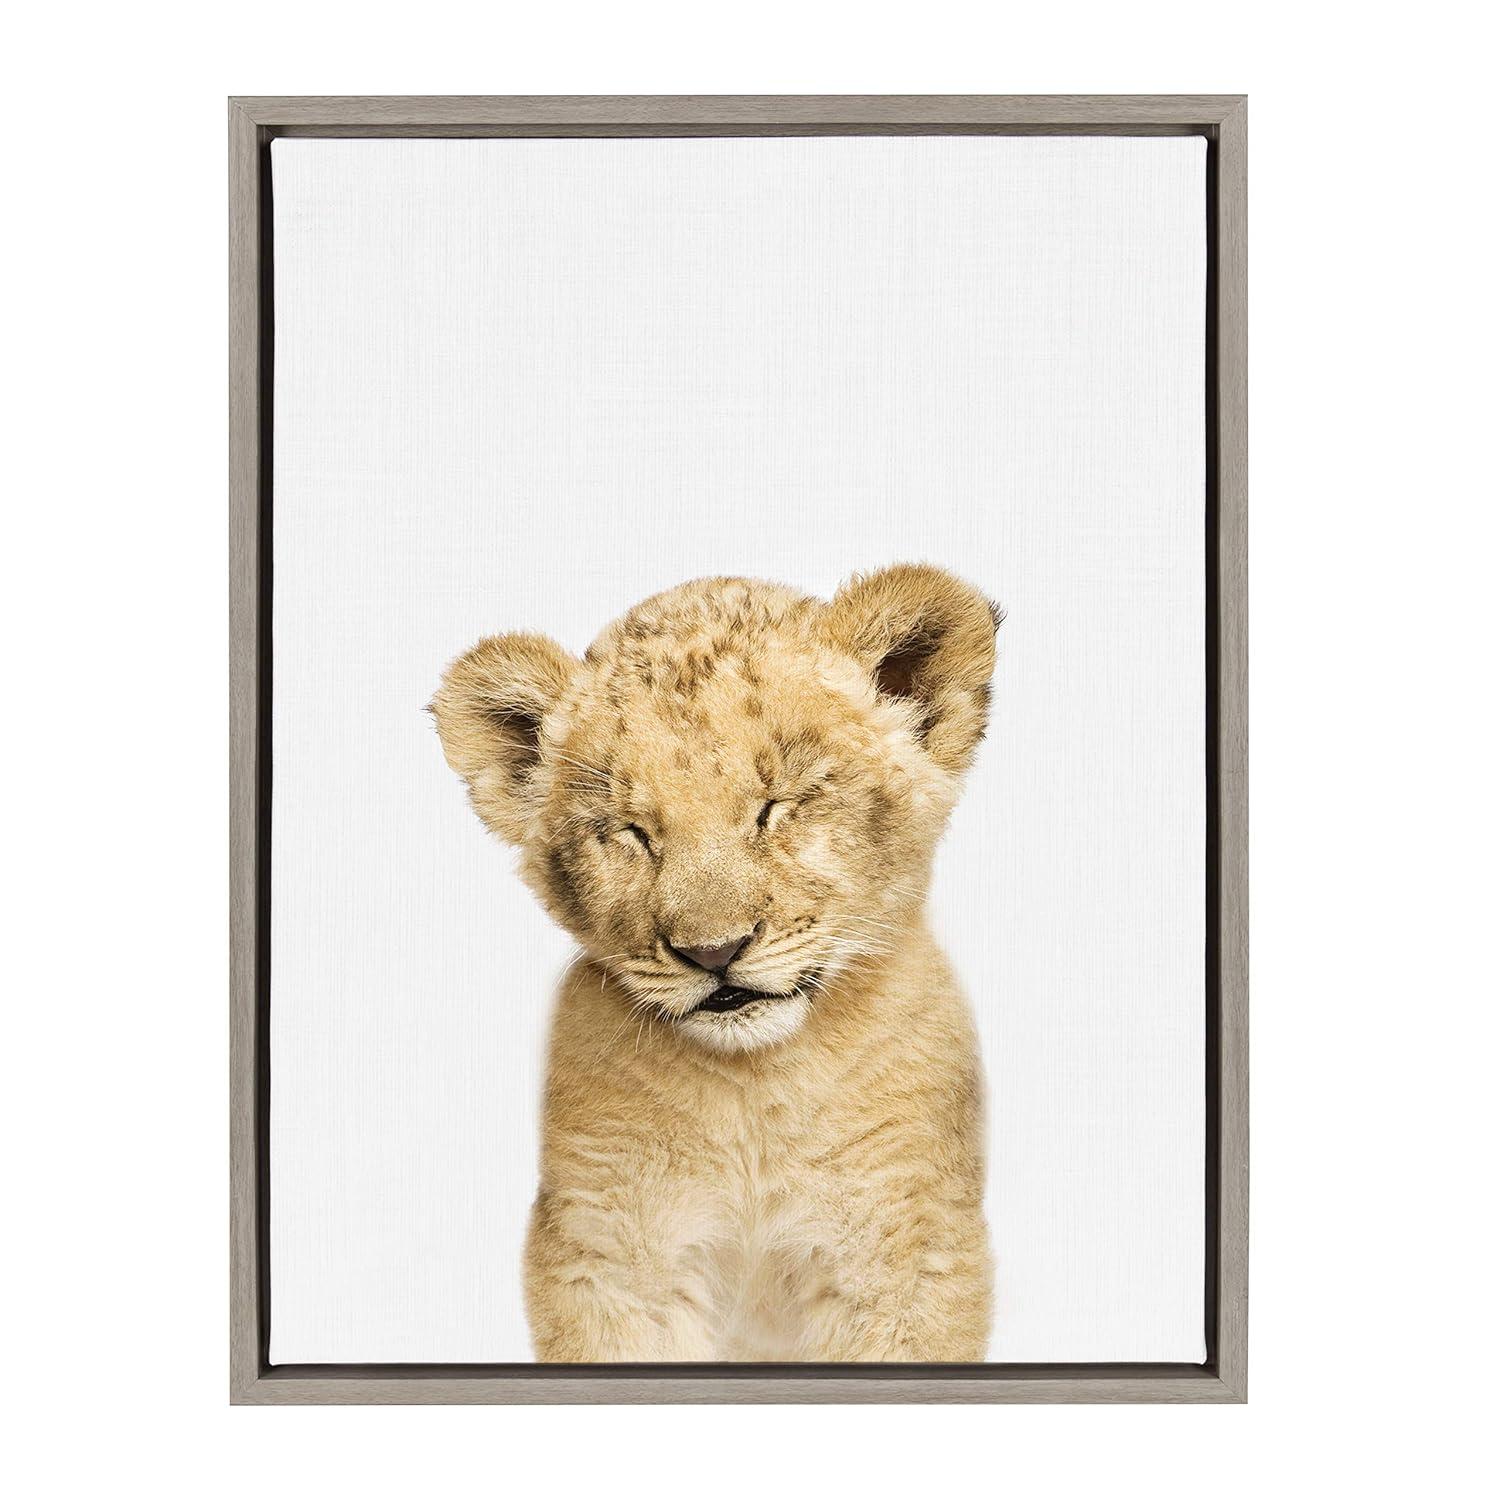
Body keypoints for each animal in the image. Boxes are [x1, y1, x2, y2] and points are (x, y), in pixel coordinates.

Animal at [431, 564, 1000, 1361]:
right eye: (631, 832)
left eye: (778, 805)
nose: (714, 951)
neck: (752, 1092)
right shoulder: (605, 1256)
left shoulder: (905, 1254)